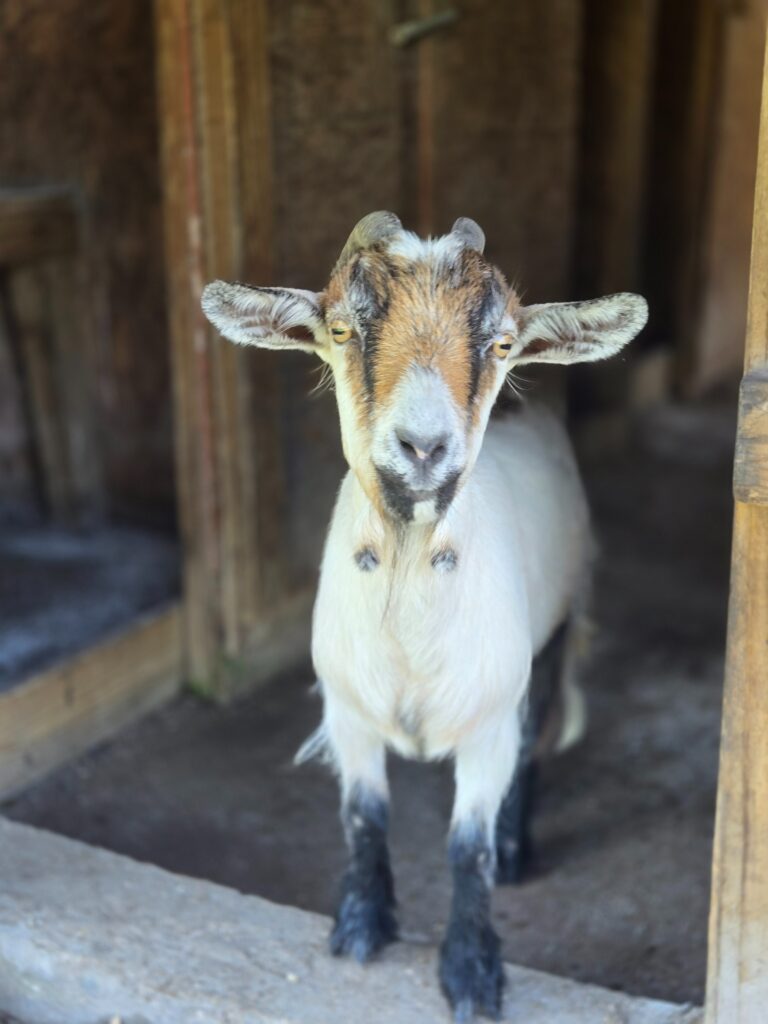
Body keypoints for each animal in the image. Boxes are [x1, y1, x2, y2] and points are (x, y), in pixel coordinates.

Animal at [202, 212, 647, 1021]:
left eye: (500, 344)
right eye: (342, 330)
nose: (422, 447)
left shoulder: (487, 721)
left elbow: (467, 846)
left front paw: (471, 970)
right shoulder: (347, 712)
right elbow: (364, 817)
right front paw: (360, 927)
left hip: (555, 626)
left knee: (535, 737)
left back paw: (517, 849)